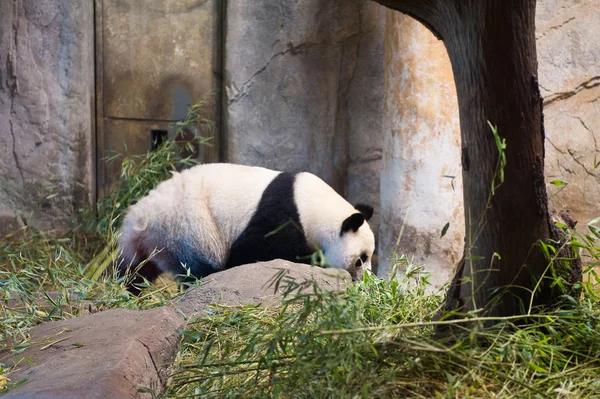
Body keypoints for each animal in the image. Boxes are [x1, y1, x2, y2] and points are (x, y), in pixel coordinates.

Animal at [117, 162, 376, 294]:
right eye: (360, 259)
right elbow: (253, 250)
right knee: (200, 264)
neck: (312, 205)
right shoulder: (280, 215)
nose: (367, 279)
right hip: (186, 226)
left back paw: (129, 289)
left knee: (136, 269)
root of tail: (137, 219)